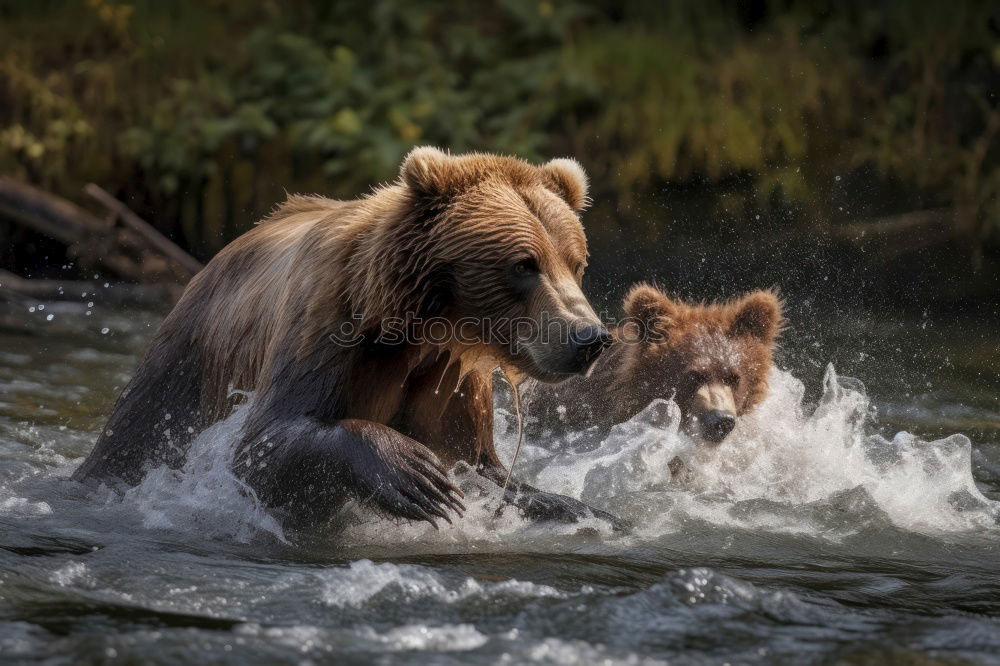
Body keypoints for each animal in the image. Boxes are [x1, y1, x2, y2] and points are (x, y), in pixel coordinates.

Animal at [72, 147, 616, 528]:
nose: (589, 336)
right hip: (192, 354)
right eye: (524, 264)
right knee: (141, 428)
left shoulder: (450, 374)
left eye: (576, 262)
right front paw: (415, 473)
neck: (419, 324)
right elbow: (263, 444)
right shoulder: (328, 318)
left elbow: (483, 467)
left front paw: (578, 507)